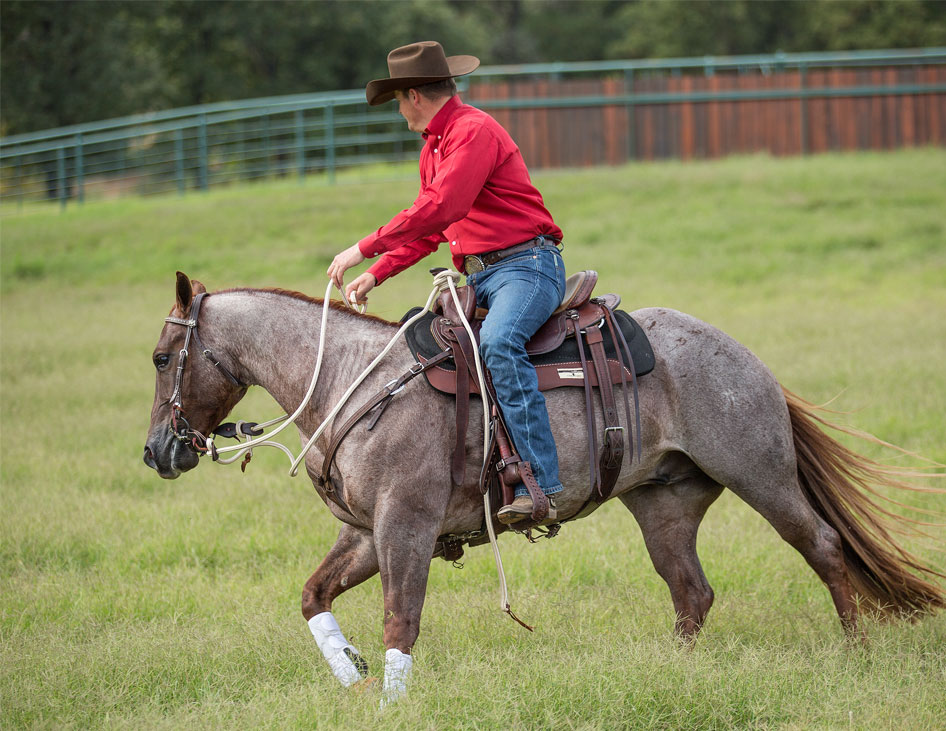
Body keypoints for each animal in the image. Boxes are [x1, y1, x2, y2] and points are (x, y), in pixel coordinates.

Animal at [144, 274, 940, 704]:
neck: (356, 382)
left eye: (159, 356)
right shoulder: (365, 532)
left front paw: (389, 697)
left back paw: (856, 653)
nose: (156, 451)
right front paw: (352, 674)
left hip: (761, 474)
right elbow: (314, 595)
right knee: (692, 591)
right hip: (664, 503)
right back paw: (673, 673)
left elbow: (402, 619)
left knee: (824, 546)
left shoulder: (406, 525)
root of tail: (748, 358)